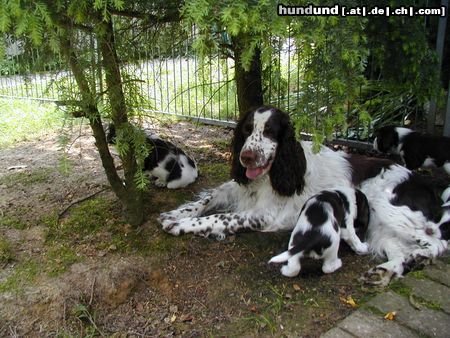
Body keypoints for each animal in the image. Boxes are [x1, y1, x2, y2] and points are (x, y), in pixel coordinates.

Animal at [160, 106, 448, 286]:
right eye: (246, 129)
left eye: (270, 131)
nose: (246, 157)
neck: (276, 172)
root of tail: (423, 182)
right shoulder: (237, 187)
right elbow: (208, 199)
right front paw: (176, 214)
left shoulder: (264, 215)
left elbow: (219, 218)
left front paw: (183, 225)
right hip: (381, 228)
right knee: (400, 251)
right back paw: (384, 272)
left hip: (386, 208)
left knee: (436, 243)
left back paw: (418, 258)